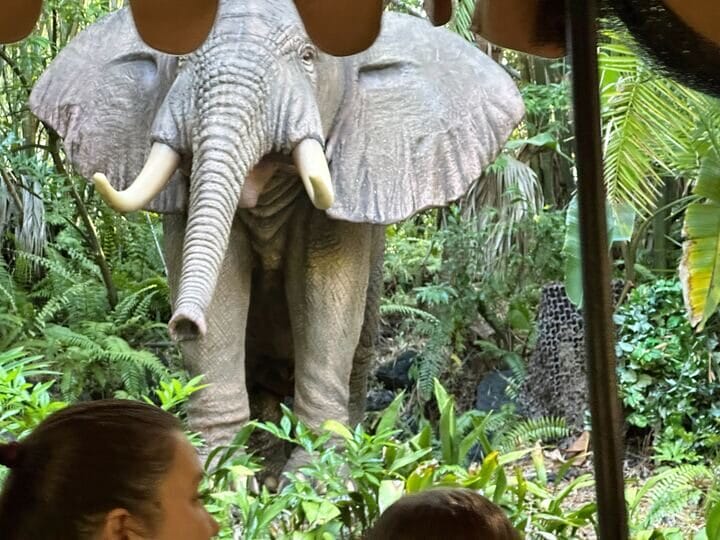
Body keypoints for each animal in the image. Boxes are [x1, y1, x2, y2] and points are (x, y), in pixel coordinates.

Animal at [29, 0, 524, 471]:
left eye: (308, 56)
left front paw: (315, 477)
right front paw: (219, 472)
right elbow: (220, 281)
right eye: (181, 60)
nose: (182, 324)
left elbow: (327, 287)